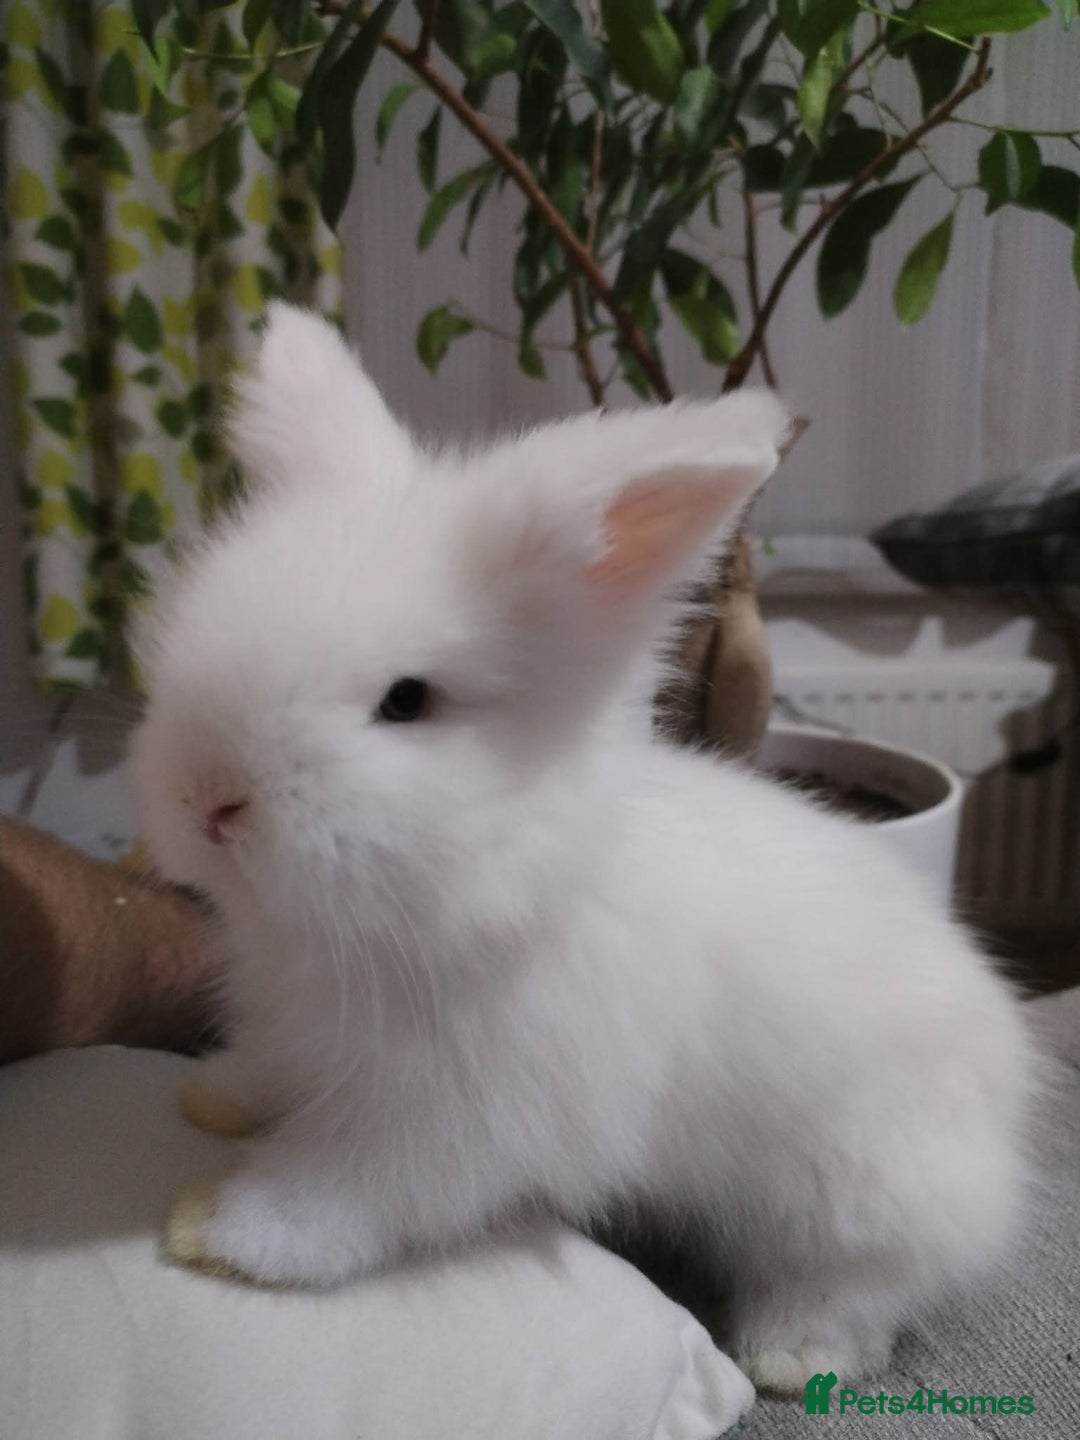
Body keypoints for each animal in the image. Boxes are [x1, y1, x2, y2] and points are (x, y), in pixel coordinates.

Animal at [130, 304, 1038, 1395]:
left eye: (407, 701)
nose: (210, 800)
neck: (495, 877)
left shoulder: (456, 1119)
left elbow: (351, 1194)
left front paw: (218, 1230)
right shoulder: (304, 1031)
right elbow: (273, 1073)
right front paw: (218, 1098)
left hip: (854, 1195)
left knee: (858, 1287)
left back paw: (790, 1356)